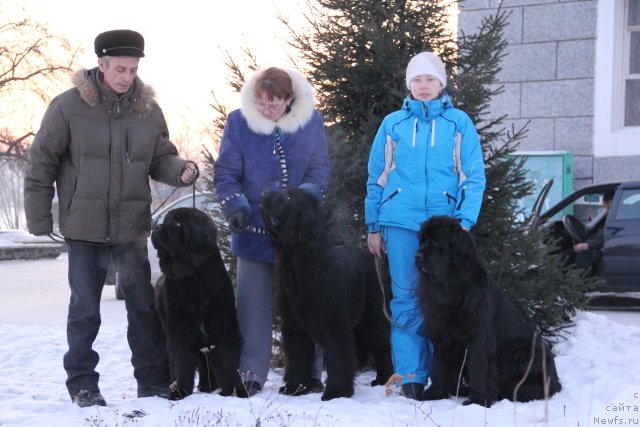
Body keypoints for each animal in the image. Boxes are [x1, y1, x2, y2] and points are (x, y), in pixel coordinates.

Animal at [151, 207, 246, 402]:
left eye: (177, 223)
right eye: (166, 220)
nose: (155, 227)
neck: (193, 279)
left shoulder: (223, 329)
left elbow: (226, 362)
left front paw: (231, 391)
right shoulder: (178, 333)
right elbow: (181, 364)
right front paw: (179, 392)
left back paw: (207, 386)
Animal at [258, 190, 390, 402]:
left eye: (288, 197)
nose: (264, 192)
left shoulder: (334, 324)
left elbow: (338, 356)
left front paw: (336, 392)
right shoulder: (293, 325)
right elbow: (296, 357)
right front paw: (294, 388)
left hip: (373, 315)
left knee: (383, 345)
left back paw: (384, 378)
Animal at [416, 217, 560, 408]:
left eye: (435, 241)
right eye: (422, 240)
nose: (417, 256)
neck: (450, 284)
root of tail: (556, 381)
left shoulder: (478, 335)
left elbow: (479, 366)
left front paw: (479, 400)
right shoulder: (442, 332)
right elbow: (439, 363)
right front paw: (435, 393)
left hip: (520, 351)